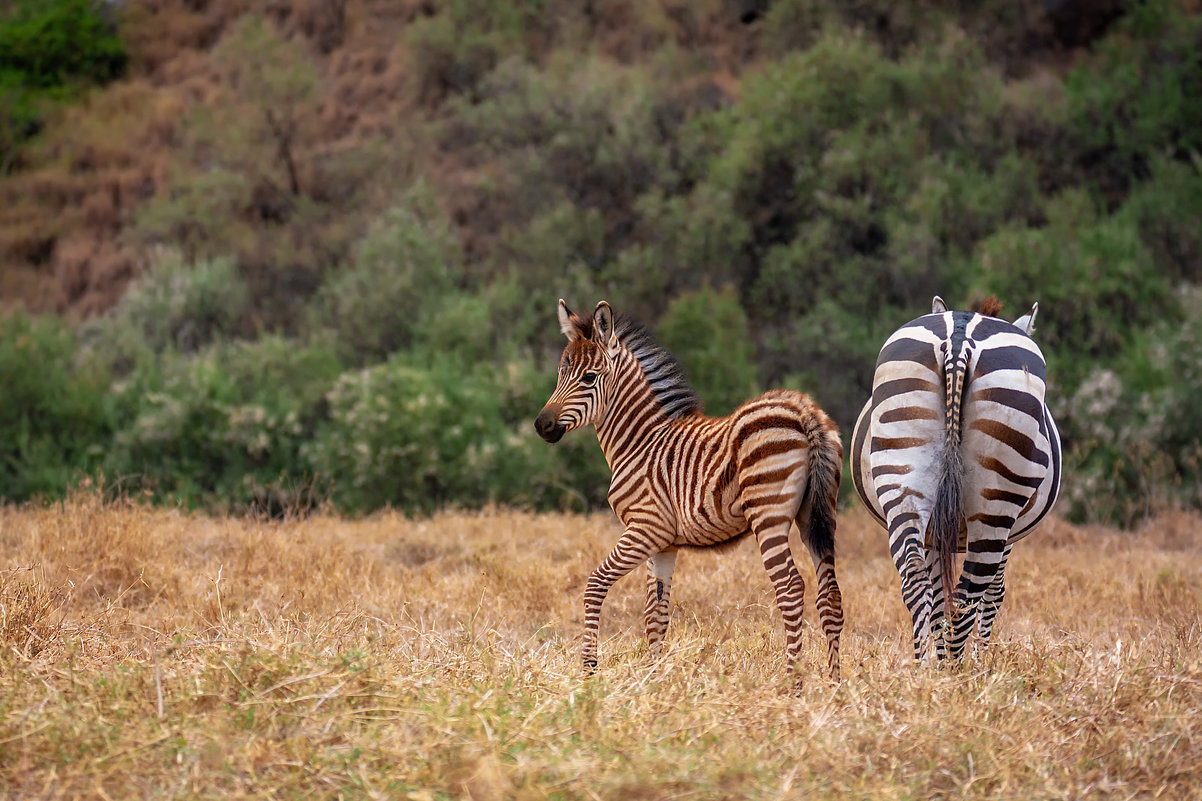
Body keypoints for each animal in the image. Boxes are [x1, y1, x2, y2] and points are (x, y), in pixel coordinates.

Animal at [536, 299, 846, 678]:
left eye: (589, 378)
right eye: (560, 373)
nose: (541, 425)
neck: (640, 441)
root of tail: (804, 410)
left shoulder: (646, 527)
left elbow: (596, 584)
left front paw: (589, 669)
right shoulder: (664, 544)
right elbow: (656, 614)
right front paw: (653, 679)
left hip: (769, 515)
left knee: (790, 589)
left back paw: (792, 682)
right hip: (817, 513)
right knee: (830, 596)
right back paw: (833, 684)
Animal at [846, 295, 1062, 659]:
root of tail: (960, 337)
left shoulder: (934, 533)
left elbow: (936, 597)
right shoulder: (1008, 538)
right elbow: (993, 595)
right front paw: (981, 660)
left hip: (901, 473)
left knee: (915, 579)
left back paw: (924, 668)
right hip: (998, 502)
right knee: (968, 595)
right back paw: (956, 671)